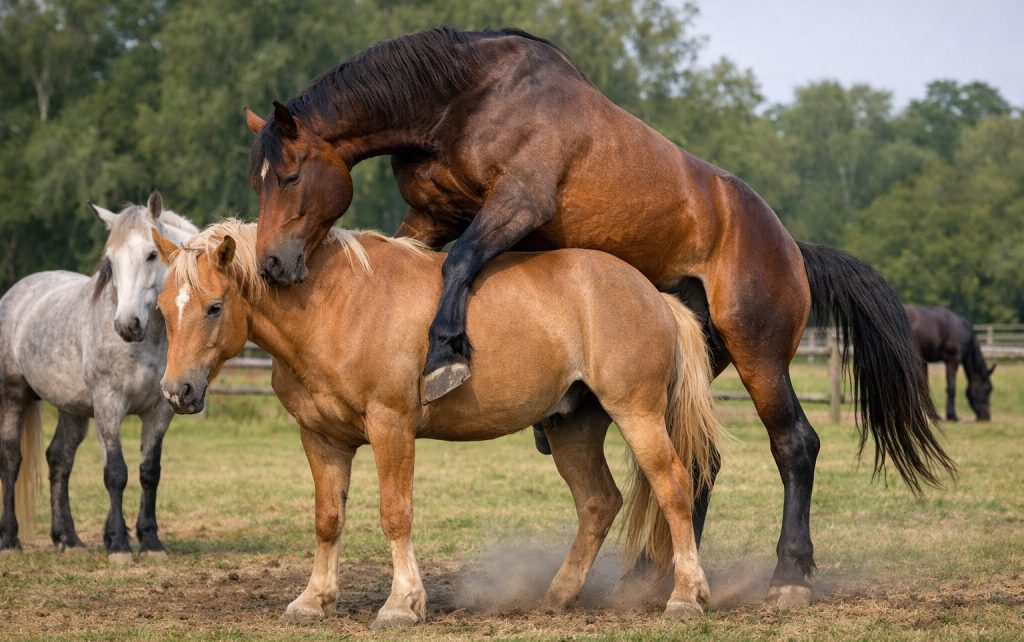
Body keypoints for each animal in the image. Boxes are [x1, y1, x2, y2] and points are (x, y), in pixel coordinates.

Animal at [0, 191, 198, 562]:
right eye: (110, 261)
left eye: (152, 254)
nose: (126, 325)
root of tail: (17, 292)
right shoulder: (109, 405)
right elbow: (115, 473)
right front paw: (118, 544)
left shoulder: (159, 412)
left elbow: (149, 473)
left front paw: (150, 542)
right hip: (13, 396)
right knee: (11, 459)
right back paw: (9, 538)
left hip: (72, 409)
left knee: (59, 460)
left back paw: (68, 538)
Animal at [153, 220, 723, 626]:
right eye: (162, 308)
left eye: (214, 306)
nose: (178, 392)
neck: (335, 308)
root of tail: (653, 295)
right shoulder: (321, 438)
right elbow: (328, 519)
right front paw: (313, 600)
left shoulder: (391, 427)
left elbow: (395, 514)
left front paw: (402, 604)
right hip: (572, 429)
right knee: (598, 502)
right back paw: (558, 596)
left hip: (637, 414)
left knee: (674, 487)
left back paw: (686, 596)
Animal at [242, 27, 954, 605]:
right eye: (258, 180)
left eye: (290, 174)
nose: (274, 263)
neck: (466, 98)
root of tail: (791, 249)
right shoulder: (431, 215)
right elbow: (419, 258)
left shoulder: (517, 203)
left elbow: (459, 263)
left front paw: (445, 355)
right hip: (697, 362)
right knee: (697, 461)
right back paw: (653, 578)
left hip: (761, 357)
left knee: (793, 445)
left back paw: (788, 577)